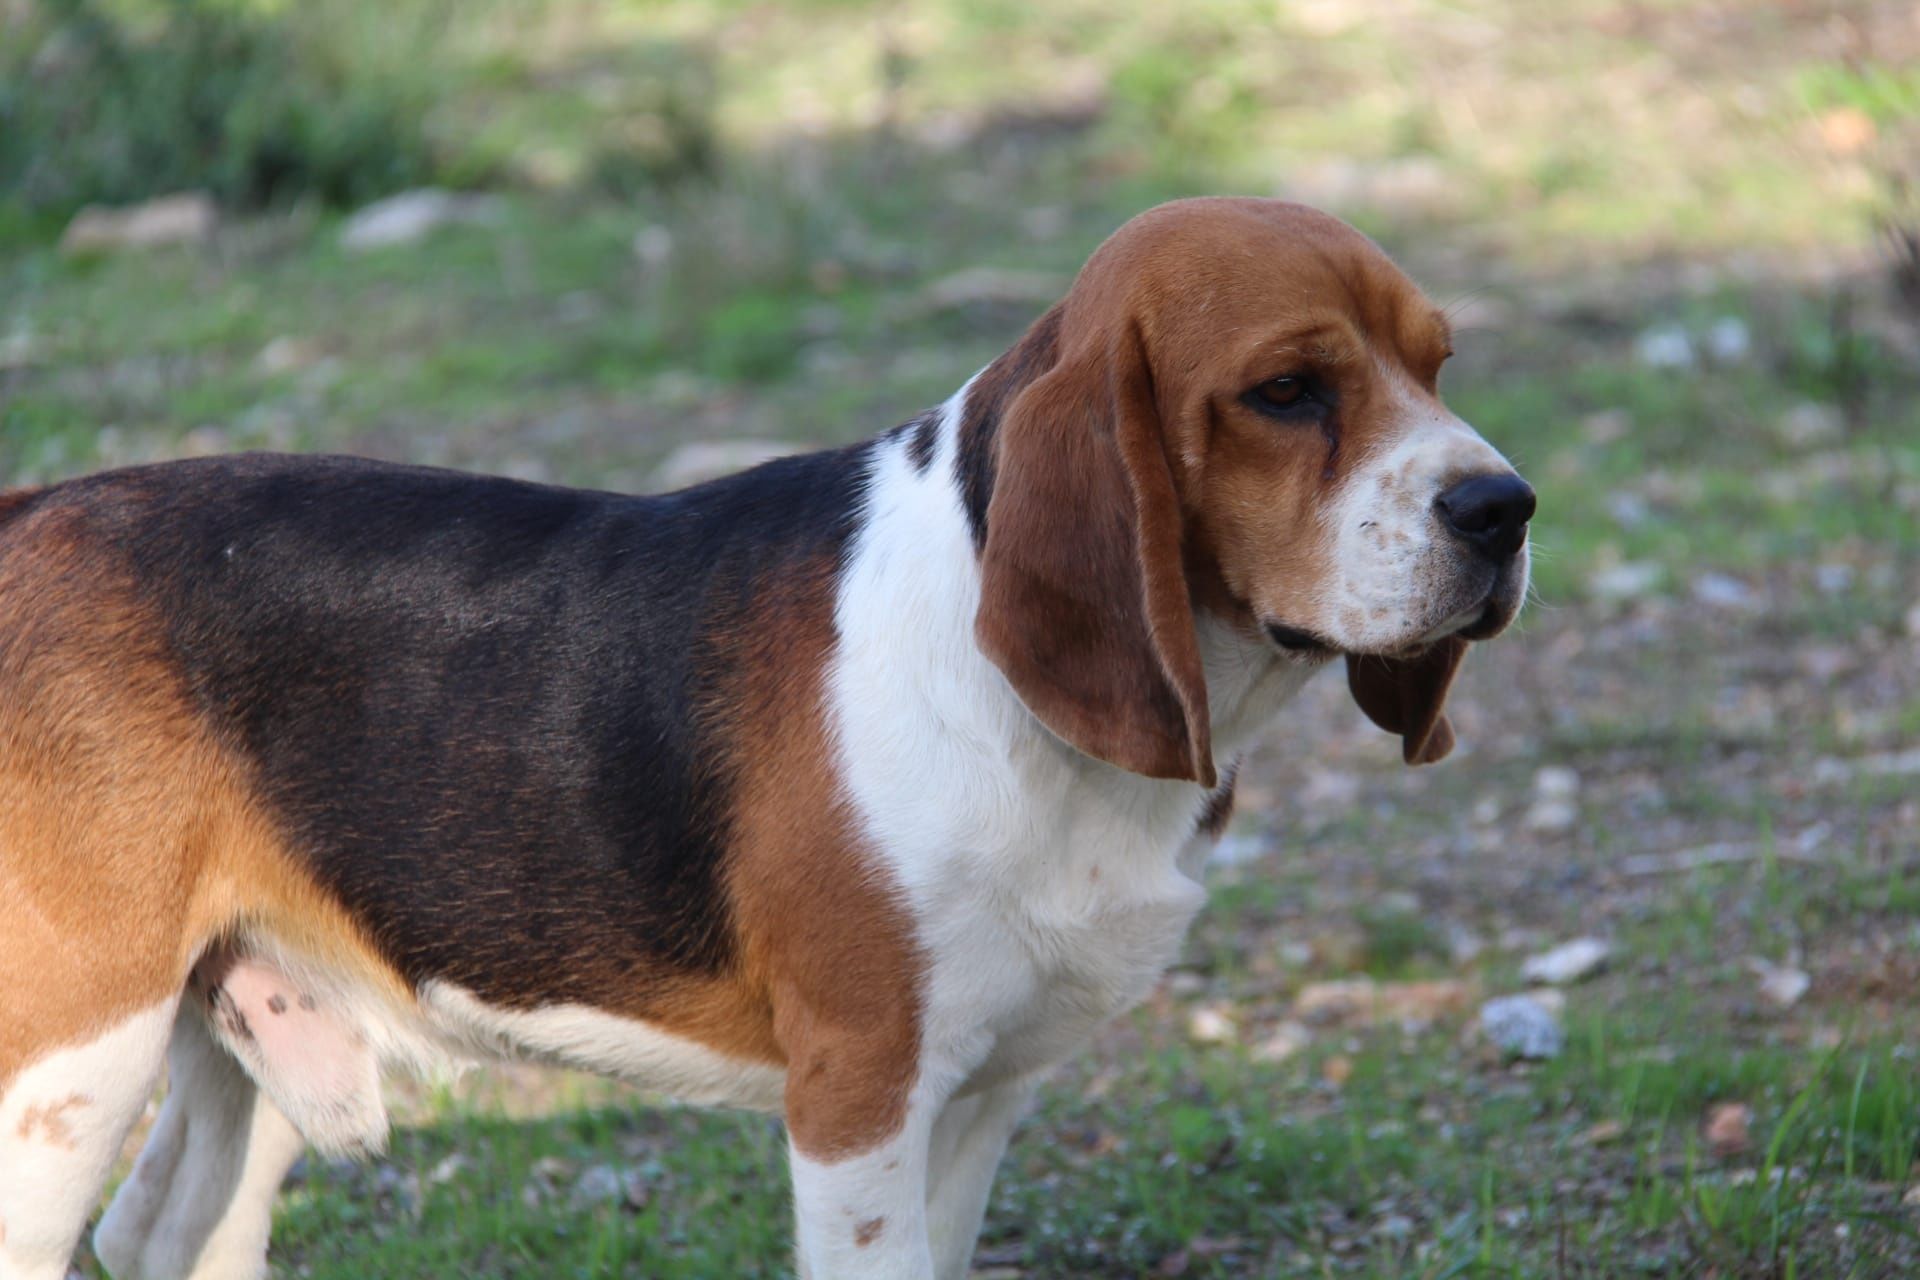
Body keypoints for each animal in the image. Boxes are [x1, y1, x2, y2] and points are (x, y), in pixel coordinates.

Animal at [0, 195, 1528, 1274]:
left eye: (1441, 364)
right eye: (1287, 391)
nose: (1506, 509)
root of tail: (32, 513)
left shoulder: (981, 1100)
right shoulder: (861, 1099)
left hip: (239, 1019)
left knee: (164, 1234)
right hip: (74, 1056)